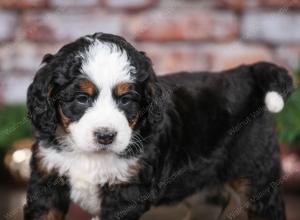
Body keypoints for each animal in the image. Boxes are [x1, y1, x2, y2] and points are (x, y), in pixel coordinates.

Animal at [24, 32, 292, 220]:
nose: (106, 136)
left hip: (256, 173)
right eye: (81, 98)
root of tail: (245, 71)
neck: (91, 156)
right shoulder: (47, 179)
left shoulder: (127, 190)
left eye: (126, 100)